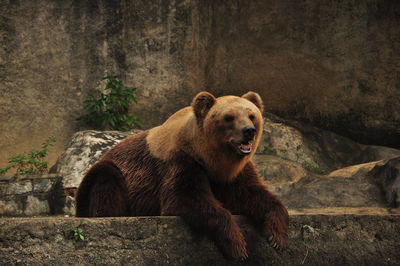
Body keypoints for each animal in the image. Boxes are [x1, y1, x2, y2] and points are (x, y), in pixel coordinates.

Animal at [75, 91, 288, 260]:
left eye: (251, 115)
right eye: (229, 117)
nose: (248, 131)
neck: (210, 157)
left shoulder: (234, 173)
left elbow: (252, 194)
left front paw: (276, 236)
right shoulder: (180, 162)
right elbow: (185, 198)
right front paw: (237, 246)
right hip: (105, 177)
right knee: (106, 180)